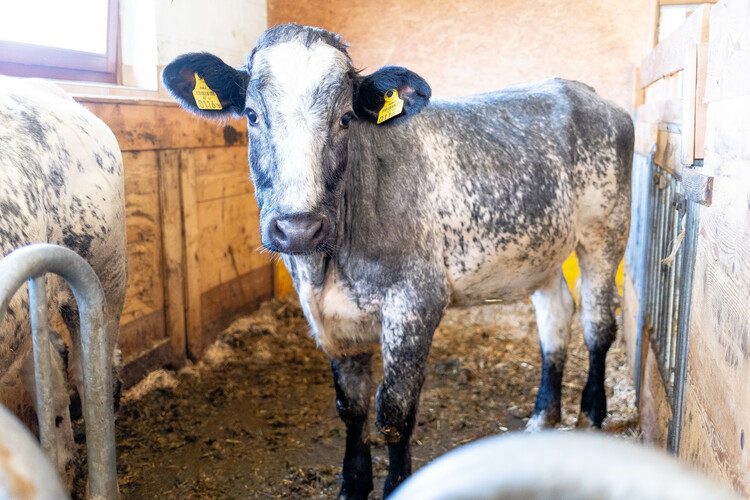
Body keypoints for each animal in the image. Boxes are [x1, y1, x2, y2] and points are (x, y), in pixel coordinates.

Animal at [163, 23, 636, 500]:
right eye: (252, 115)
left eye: (345, 118)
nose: (298, 227)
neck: (329, 266)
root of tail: (585, 92)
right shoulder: (328, 316)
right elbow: (351, 407)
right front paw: (353, 484)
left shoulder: (416, 302)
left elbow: (394, 411)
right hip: (541, 249)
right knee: (555, 316)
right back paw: (544, 416)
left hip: (606, 229)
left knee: (597, 322)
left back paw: (591, 415)